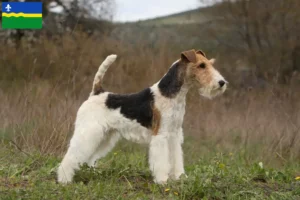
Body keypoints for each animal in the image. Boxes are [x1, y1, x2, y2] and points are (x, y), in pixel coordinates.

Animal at [57, 49, 227, 184]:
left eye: (209, 63)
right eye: (201, 65)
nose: (222, 82)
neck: (172, 95)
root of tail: (97, 92)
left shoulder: (174, 134)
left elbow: (176, 158)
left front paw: (179, 177)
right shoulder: (161, 135)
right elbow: (162, 161)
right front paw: (162, 180)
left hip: (105, 135)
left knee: (89, 157)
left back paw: (90, 172)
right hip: (89, 132)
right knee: (72, 155)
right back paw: (64, 179)